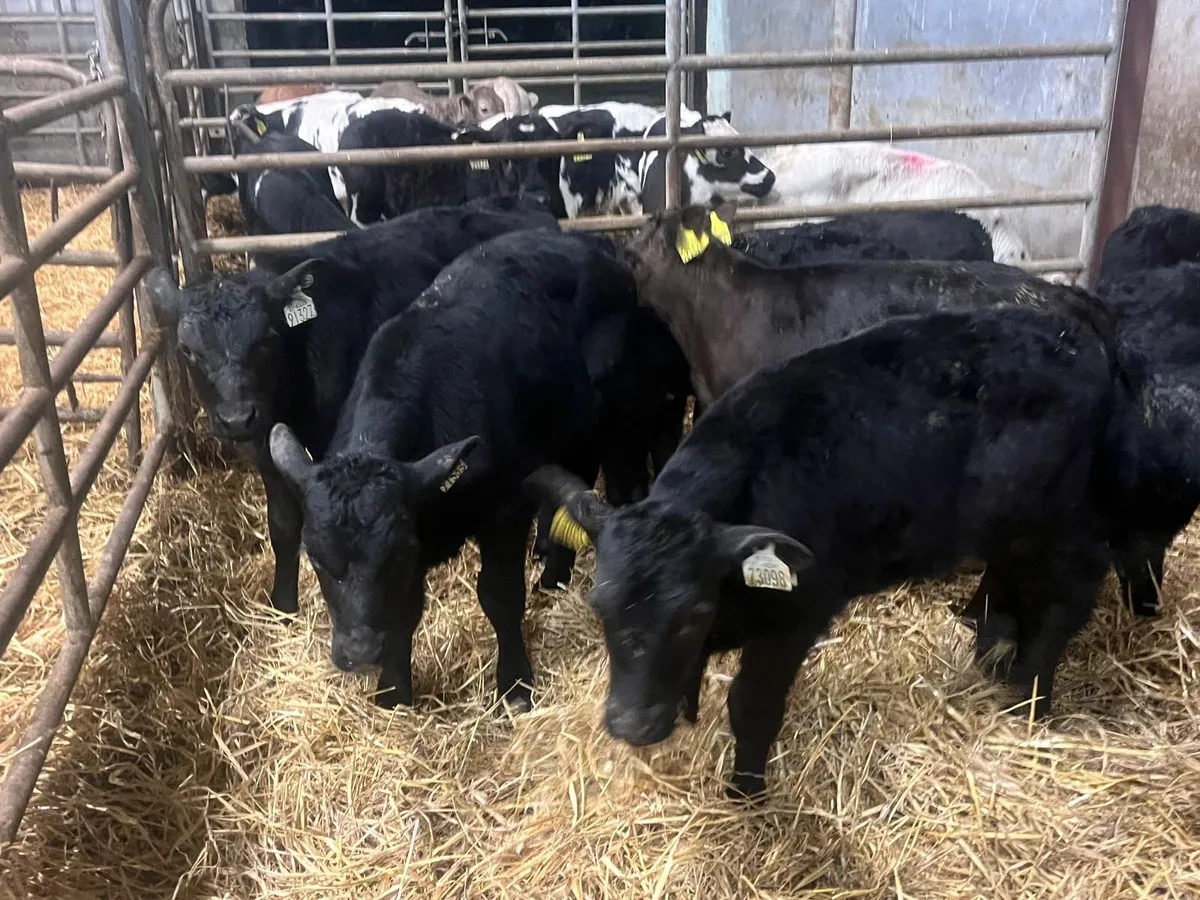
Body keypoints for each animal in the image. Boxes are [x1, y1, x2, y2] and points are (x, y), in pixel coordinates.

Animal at [142, 197, 560, 618]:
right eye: (187, 350)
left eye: (266, 340)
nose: (236, 418)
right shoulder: (269, 449)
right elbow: (282, 525)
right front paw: (283, 605)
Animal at [266, 228, 689, 710]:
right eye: (315, 558)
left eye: (394, 554)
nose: (359, 652)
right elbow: (403, 611)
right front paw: (393, 692)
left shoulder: (504, 510)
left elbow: (499, 596)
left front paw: (516, 684)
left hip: (603, 429)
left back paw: (556, 574)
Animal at [528, 300, 1118, 797]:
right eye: (598, 606)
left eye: (693, 613)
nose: (632, 725)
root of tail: (1070, 335)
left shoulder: (797, 617)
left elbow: (752, 706)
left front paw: (745, 795)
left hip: (1060, 523)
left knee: (1065, 601)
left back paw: (1029, 699)